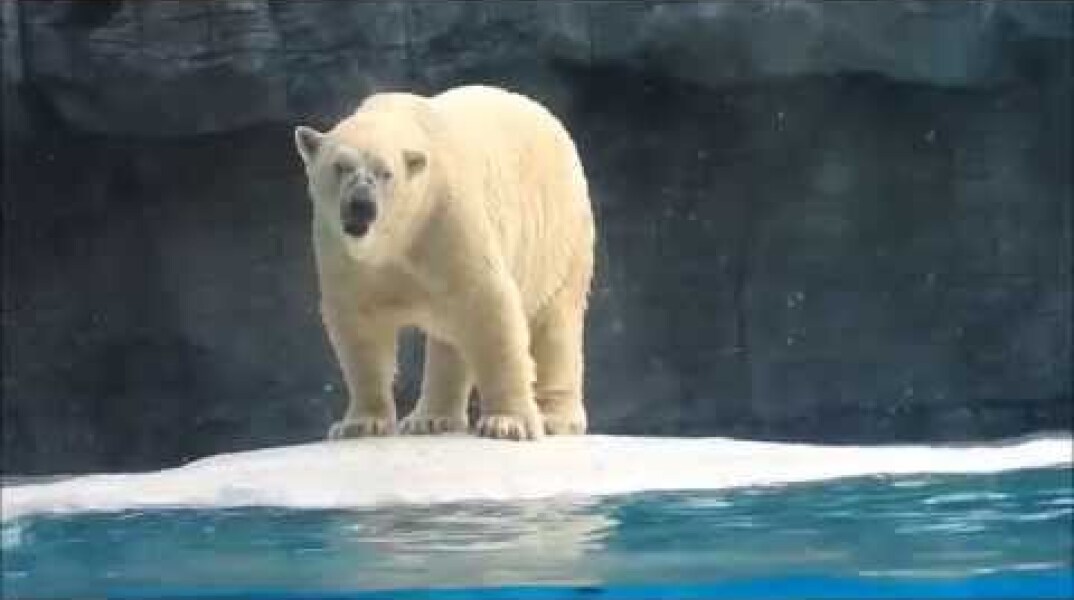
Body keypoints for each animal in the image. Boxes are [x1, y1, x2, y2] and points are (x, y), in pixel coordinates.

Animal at [293, 85, 595, 441]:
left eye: (385, 173)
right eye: (340, 166)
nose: (361, 205)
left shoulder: (447, 216)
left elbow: (490, 306)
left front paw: (508, 423)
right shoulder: (341, 250)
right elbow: (358, 324)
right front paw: (360, 424)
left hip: (559, 239)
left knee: (555, 324)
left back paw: (556, 418)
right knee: (450, 337)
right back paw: (430, 419)